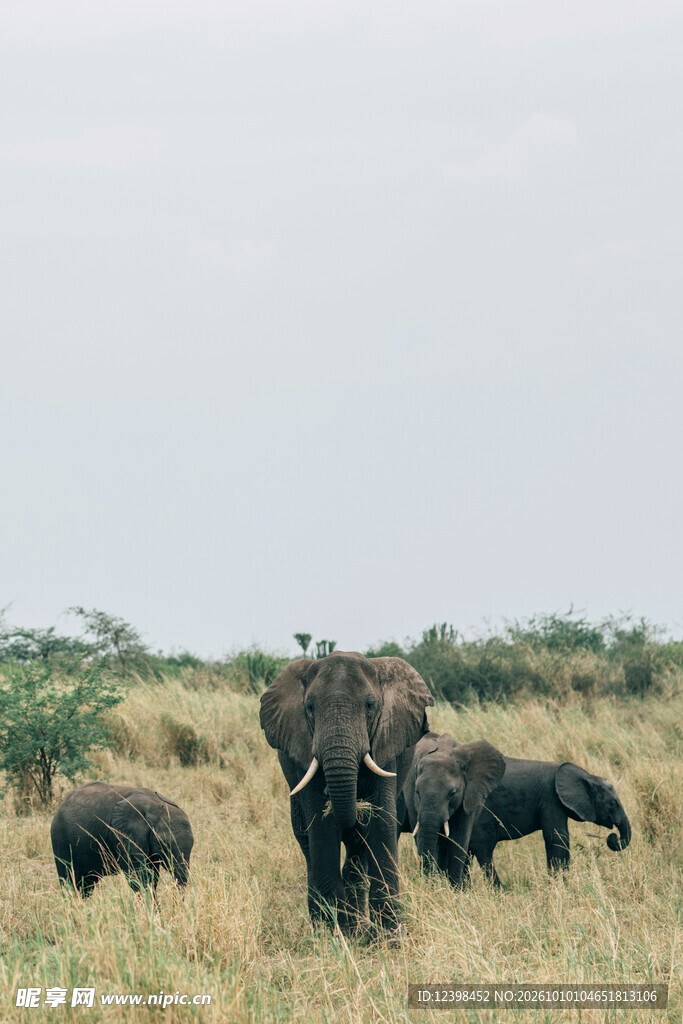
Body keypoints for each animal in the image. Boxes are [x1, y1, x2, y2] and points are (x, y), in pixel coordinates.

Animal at [50, 782, 194, 897]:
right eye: (163, 845)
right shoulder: (122, 835)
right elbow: (138, 876)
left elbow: (152, 876)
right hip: (60, 838)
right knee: (69, 880)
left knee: (87, 884)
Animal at [259, 651, 434, 938]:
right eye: (309, 707)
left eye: (370, 705)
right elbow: (322, 826)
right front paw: (335, 934)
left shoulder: (385, 742)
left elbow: (382, 823)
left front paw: (389, 938)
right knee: (308, 845)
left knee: (358, 848)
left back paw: (359, 926)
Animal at [397, 732, 506, 886]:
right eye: (417, 792)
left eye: (452, 793)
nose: (428, 883)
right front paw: (435, 887)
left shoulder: (470, 794)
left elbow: (460, 838)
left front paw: (455, 889)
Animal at [467, 757, 632, 886]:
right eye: (612, 803)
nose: (613, 837)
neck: (587, 775)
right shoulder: (551, 798)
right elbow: (557, 837)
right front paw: (560, 887)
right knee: (484, 850)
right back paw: (499, 890)